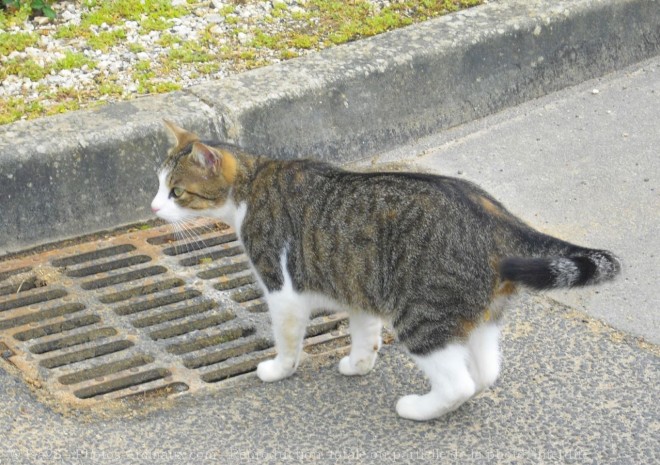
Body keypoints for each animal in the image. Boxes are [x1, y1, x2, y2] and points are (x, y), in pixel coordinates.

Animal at [150, 119, 620, 420]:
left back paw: (418, 409)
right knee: (486, 374)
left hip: (421, 316)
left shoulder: (282, 292)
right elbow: (365, 335)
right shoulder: (358, 283)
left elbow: (288, 342)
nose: (153, 208)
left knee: (459, 384)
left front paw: (278, 369)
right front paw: (359, 365)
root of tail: (492, 212)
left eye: (176, 192)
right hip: (479, 315)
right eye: (157, 184)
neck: (251, 185)